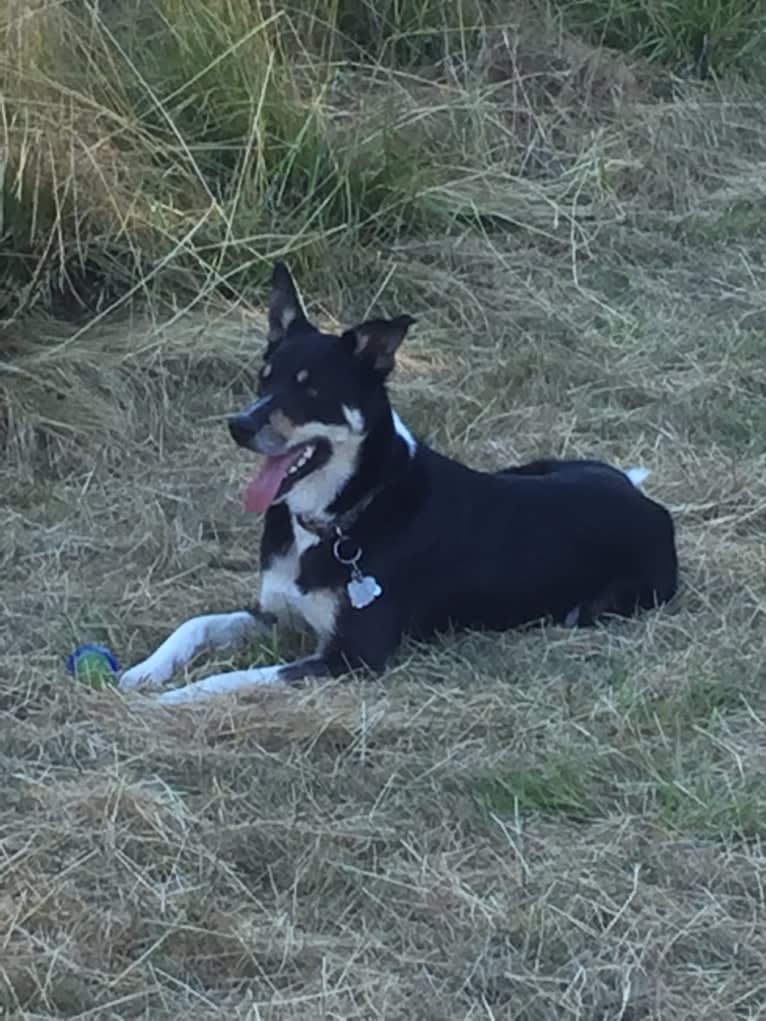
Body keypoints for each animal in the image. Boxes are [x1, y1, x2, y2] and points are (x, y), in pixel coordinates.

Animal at [120, 263, 678, 702]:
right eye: (264, 377)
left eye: (311, 390)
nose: (239, 426)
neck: (342, 515)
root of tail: (646, 502)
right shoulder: (275, 613)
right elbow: (195, 624)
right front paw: (144, 672)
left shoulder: (351, 657)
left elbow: (236, 679)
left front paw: (174, 699)